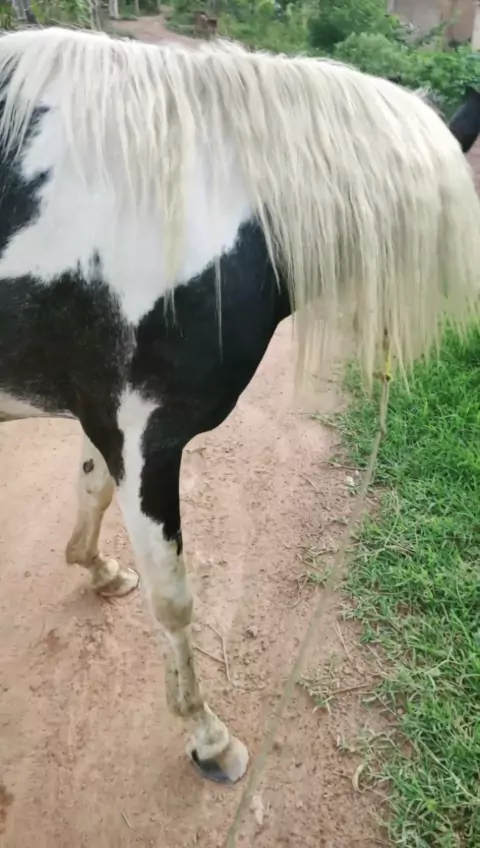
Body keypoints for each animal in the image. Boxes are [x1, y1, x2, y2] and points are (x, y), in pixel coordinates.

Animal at [1, 25, 480, 785]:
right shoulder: (146, 436)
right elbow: (173, 600)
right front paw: (208, 738)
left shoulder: (107, 418)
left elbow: (90, 491)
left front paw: (97, 570)